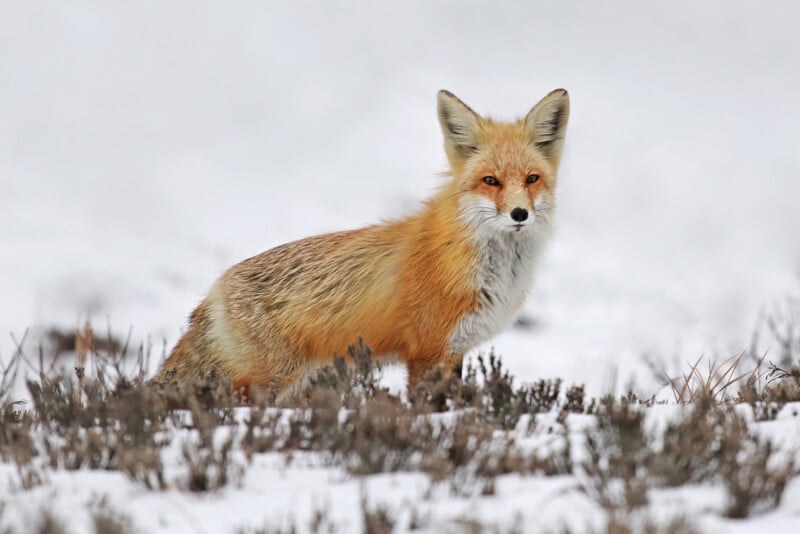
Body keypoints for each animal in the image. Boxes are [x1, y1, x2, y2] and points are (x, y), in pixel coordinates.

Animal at [154, 88, 570, 396]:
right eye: (490, 181)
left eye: (531, 179)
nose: (519, 214)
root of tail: (214, 290)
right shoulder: (427, 353)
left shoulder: (455, 351)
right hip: (271, 380)